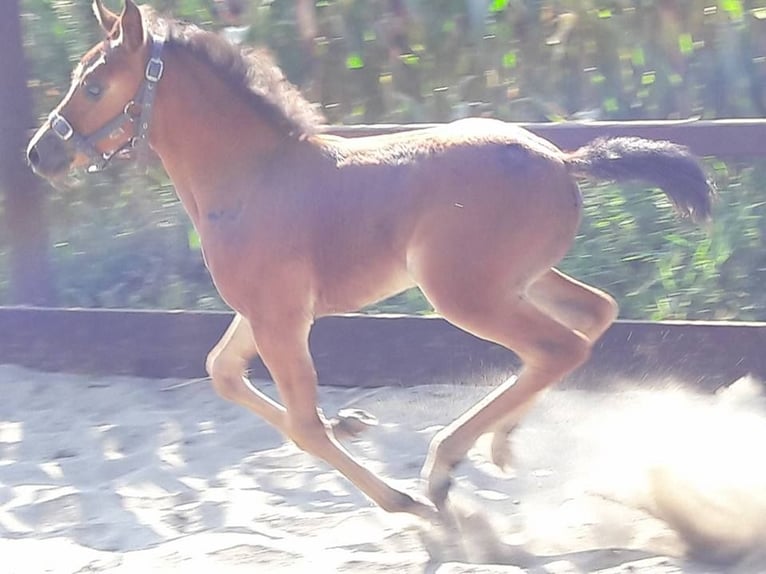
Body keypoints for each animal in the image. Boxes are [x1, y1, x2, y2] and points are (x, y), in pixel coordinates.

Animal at [27, 0, 714, 521]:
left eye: (93, 85)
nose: (39, 154)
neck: (252, 178)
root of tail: (563, 160)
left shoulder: (279, 318)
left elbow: (303, 424)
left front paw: (398, 496)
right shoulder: (265, 312)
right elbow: (224, 373)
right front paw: (352, 420)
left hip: (465, 294)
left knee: (558, 346)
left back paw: (442, 467)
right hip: (520, 280)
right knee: (592, 316)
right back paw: (499, 442)